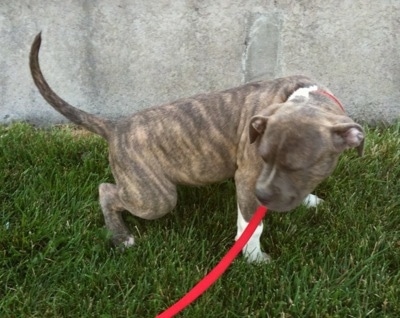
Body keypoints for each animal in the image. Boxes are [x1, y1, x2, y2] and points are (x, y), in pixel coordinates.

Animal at [29, 32, 364, 262]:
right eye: (264, 157)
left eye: (298, 167)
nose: (263, 196)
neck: (304, 98)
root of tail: (115, 127)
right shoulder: (247, 178)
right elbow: (251, 226)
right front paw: (254, 258)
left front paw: (308, 200)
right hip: (155, 197)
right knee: (107, 191)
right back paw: (121, 235)